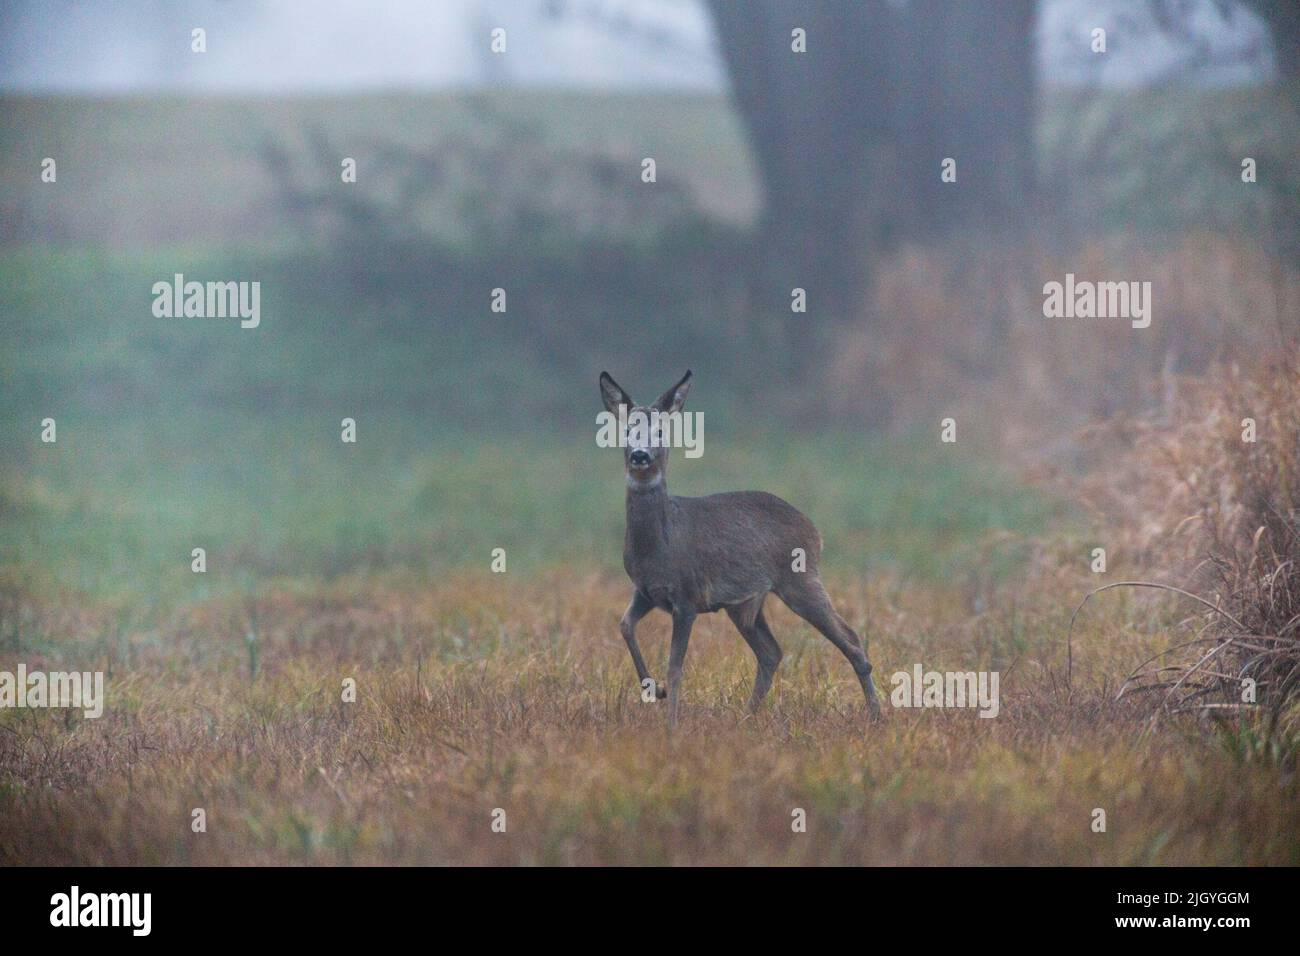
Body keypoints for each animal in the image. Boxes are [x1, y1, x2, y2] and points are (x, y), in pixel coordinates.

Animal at [598, 369, 883, 728]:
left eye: (661, 431)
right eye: (626, 431)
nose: (640, 456)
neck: (660, 545)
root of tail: (815, 531)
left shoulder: (688, 597)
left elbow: (675, 668)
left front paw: (671, 725)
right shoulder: (646, 591)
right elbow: (624, 626)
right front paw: (654, 690)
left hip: (800, 579)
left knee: (852, 640)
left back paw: (877, 714)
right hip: (744, 604)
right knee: (771, 652)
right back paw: (745, 718)